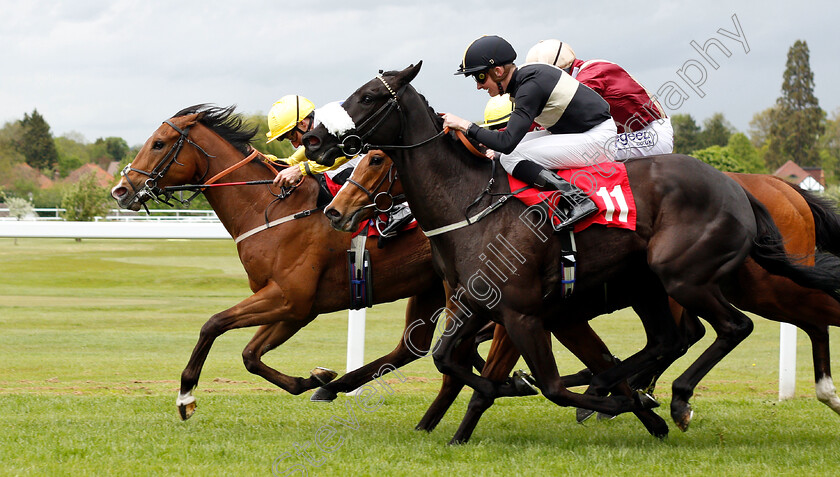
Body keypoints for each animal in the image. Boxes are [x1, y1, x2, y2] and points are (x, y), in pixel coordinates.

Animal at [302, 64, 840, 442]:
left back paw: (674, 398)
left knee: (736, 327)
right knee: (667, 340)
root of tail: (737, 186)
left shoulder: (521, 314)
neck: (470, 202)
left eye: (369, 97)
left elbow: (549, 387)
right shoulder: (474, 304)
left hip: (684, 275)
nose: (312, 138)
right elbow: (445, 359)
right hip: (650, 286)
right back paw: (622, 388)